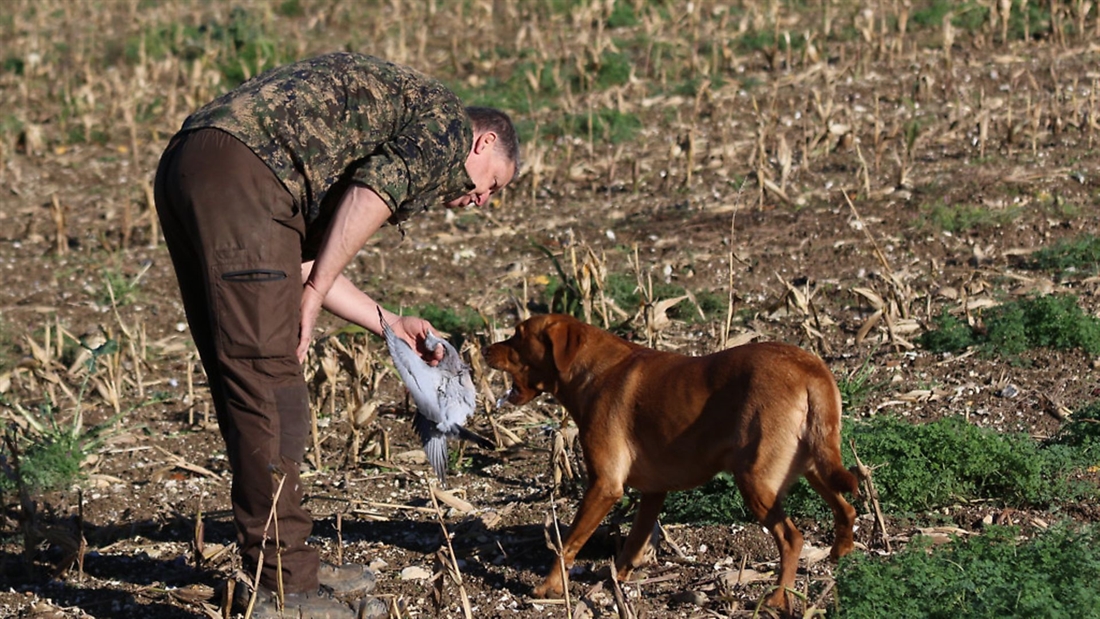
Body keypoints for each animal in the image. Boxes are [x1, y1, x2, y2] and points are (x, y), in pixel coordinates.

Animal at [488, 314, 858, 611]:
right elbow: (633, 542)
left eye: (518, 335)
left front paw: (549, 587)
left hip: (755, 480)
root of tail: (810, 368)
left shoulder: (604, 486)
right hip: (815, 466)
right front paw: (616, 580)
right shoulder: (654, 491)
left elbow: (567, 545)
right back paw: (842, 552)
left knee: (792, 539)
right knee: (847, 508)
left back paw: (778, 598)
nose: (484, 347)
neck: (591, 370)